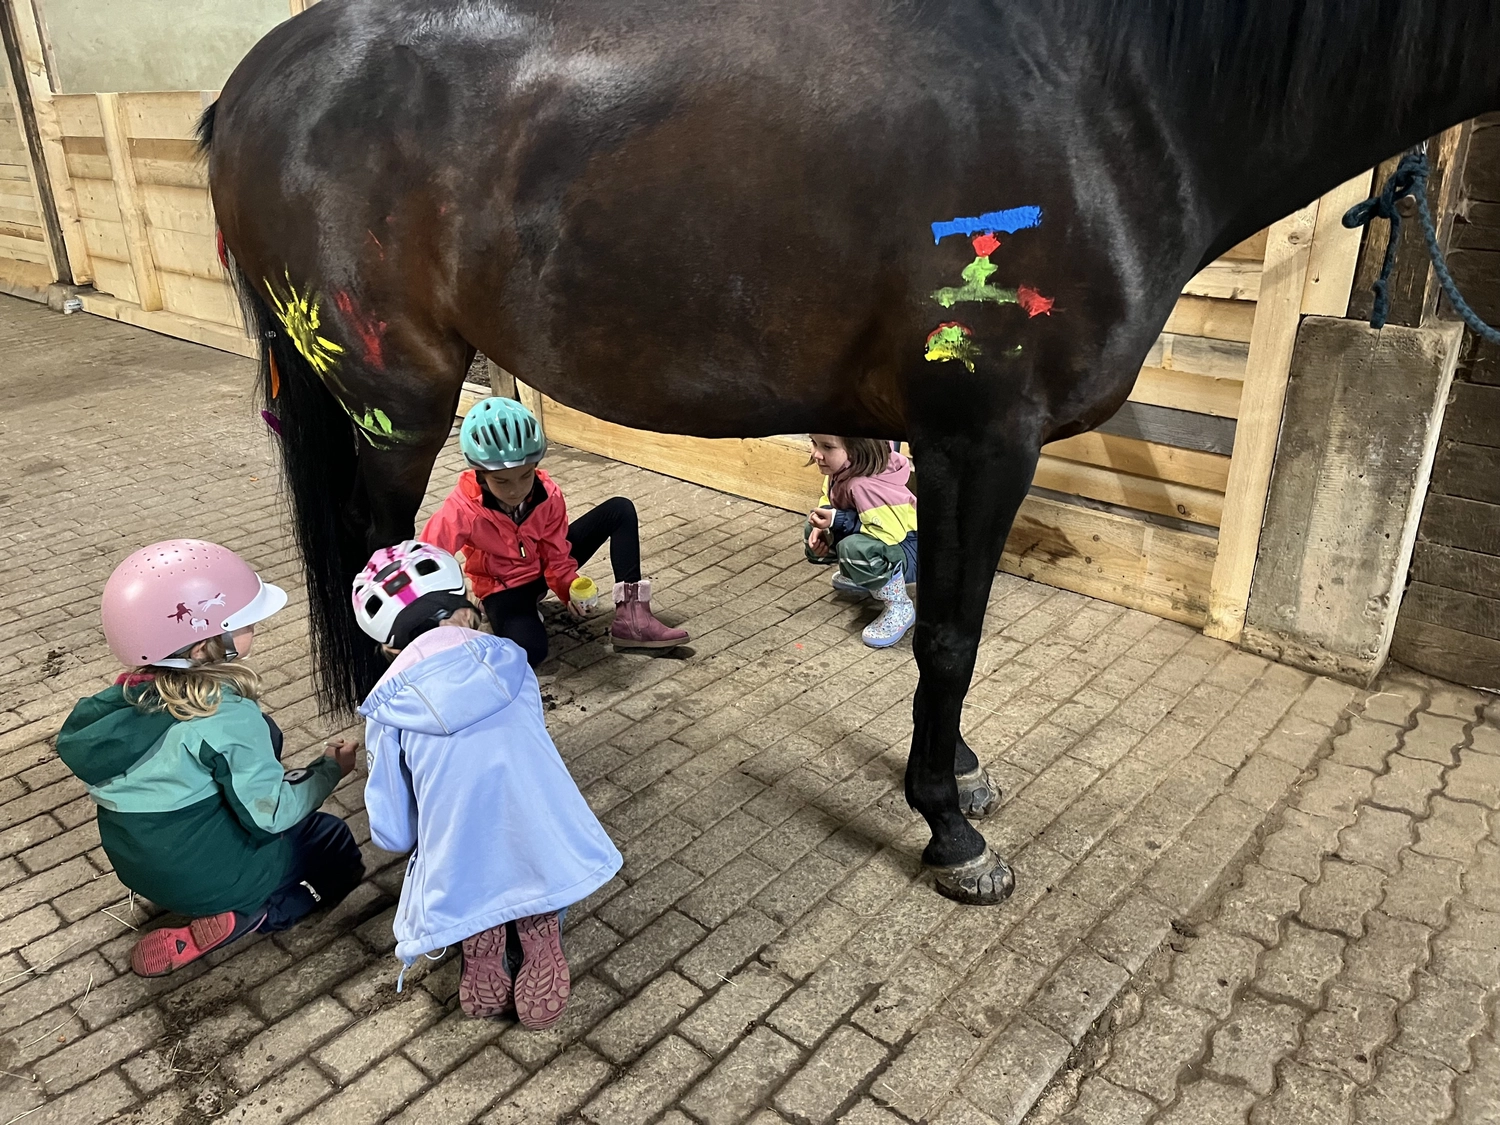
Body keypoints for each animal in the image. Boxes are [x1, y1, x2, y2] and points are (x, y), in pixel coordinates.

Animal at [200, 0, 1500, 903]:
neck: (1114, 93)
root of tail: (254, 85)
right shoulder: (986, 434)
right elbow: (951, 634)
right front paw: (952, 827)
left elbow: (947, 619)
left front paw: (959, 772)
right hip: (395, 399)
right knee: (381, 570)